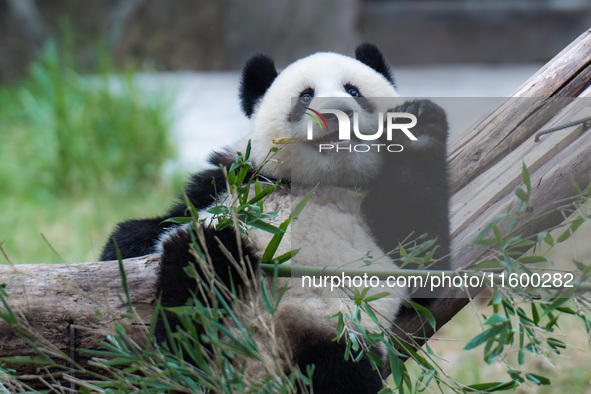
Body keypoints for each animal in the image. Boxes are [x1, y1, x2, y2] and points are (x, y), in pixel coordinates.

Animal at [102, 43, 450, 394]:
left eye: (353, 91)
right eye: (306, 96)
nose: (337, 112)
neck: (322, 185)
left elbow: (424, 257)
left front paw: (419, 130)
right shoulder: (236, 181)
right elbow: (148, 231)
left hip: (340, 337)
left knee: (342, 370)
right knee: (202, 268)